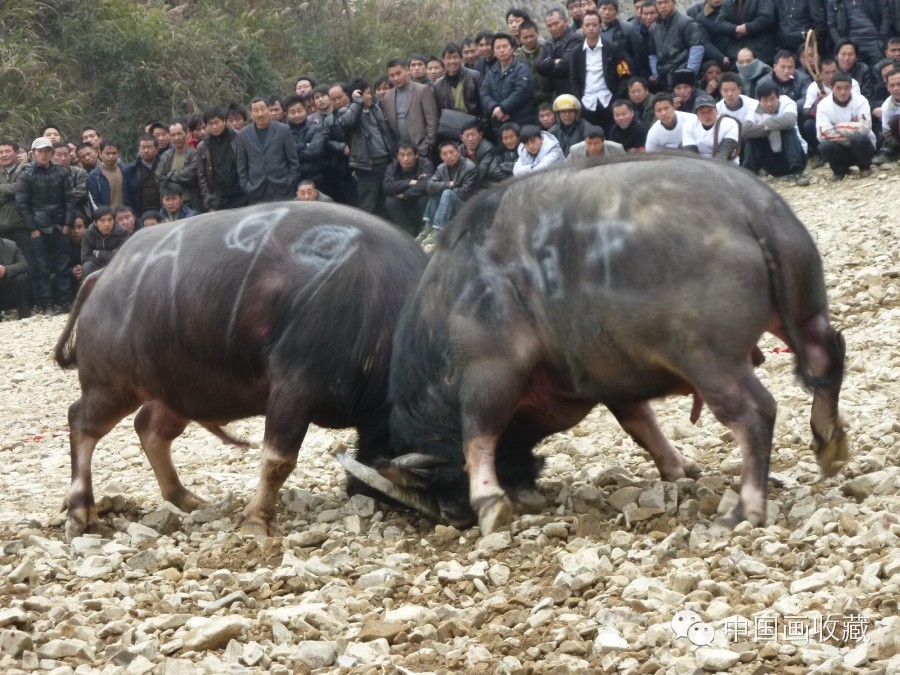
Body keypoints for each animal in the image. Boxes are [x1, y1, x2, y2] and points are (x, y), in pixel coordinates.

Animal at [56, 203, 428, 540]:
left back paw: (184, 498)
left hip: (177, 388)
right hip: (112, 385)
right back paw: (81, 512)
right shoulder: (295, 388)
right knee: (82, 423)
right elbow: (278, 460)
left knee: (150, 429)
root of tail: (105, 275)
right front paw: (256, 520)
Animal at [344, 153, 852, 532]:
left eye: (431, 485)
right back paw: (828, 443)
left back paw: (746, 508)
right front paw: (679, 469)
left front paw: (490, 504)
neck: (461, 288)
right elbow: (642, 426)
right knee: (825, 355)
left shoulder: (489, 372)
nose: (454, 516)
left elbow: (478, 435)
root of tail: (748, 207)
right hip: (801, 311)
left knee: (754, 412)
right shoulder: (612, 381)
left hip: (710, 359)